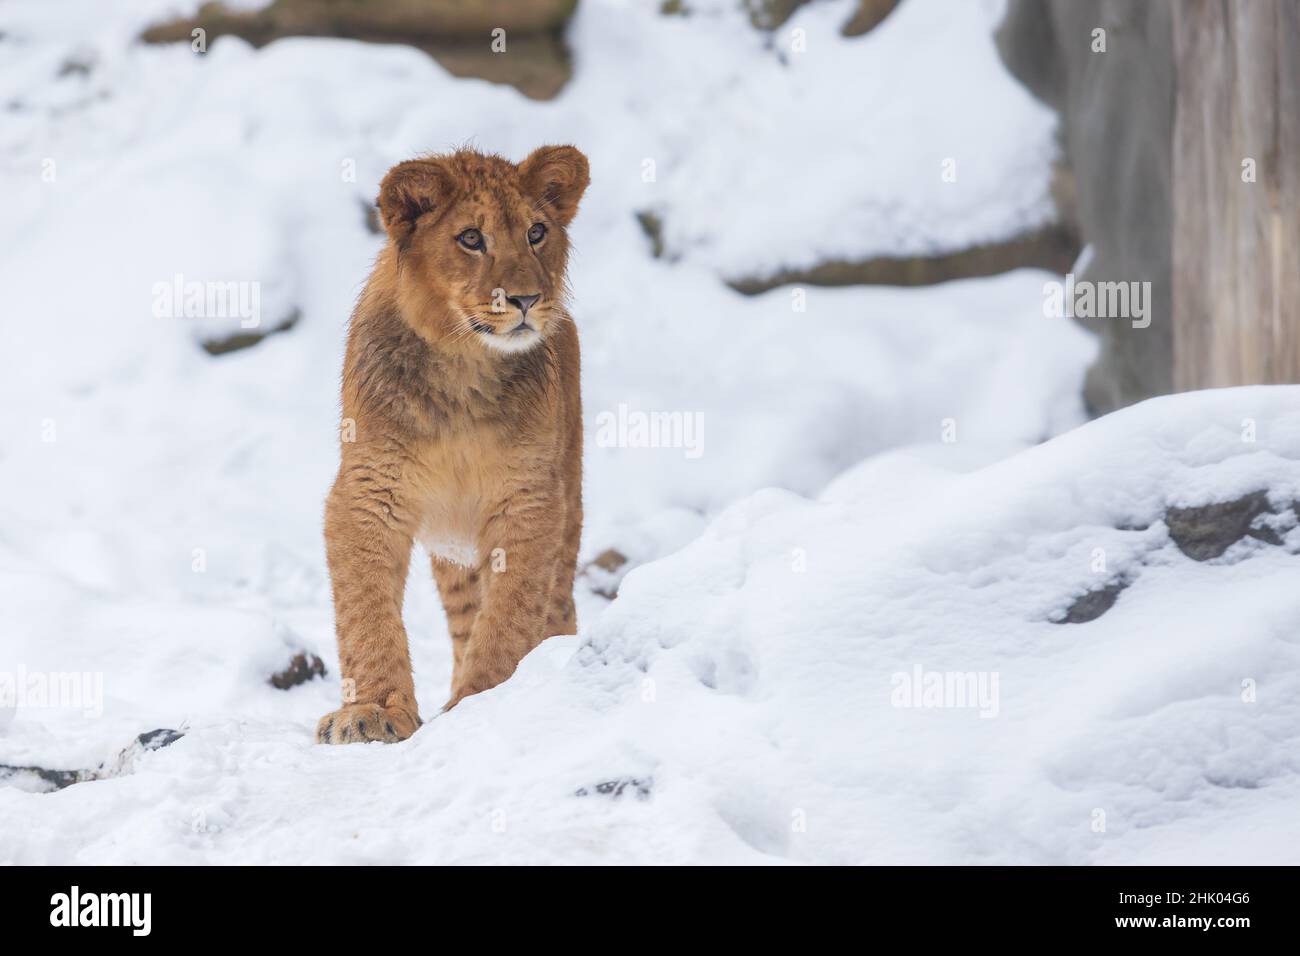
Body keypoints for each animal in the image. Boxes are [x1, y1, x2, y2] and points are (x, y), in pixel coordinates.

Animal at [316, 146, 589, 744]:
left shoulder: (531, 499)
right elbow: (365, 609)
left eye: (536, 232)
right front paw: (373, 710)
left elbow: (510, 612)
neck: (463, 368)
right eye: (470, 238)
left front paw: (483, 700)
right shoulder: (368, 491)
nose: (527, 298)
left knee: (553, 604)